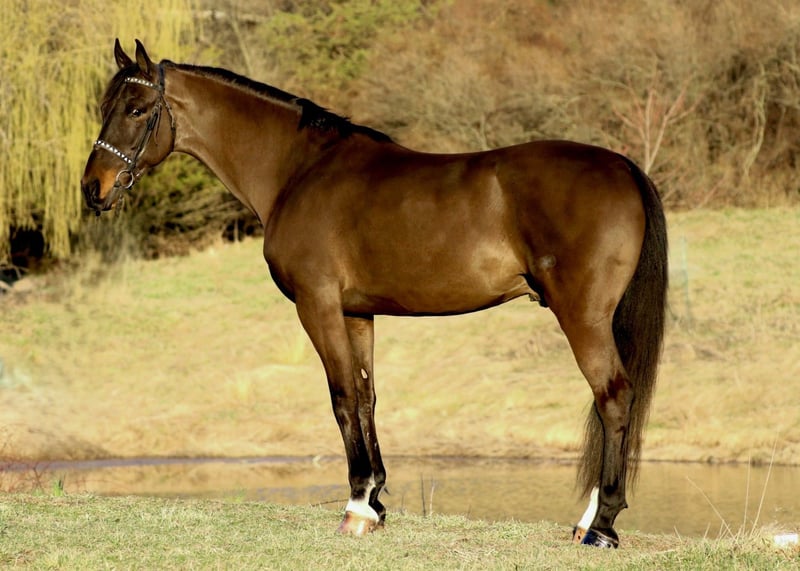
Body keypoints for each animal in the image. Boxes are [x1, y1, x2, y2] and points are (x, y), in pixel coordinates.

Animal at [81, 40, 667, 548]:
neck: (300, 169)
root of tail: (624, 166)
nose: (93, 189)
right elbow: (366, 397)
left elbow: (341, 397)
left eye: (137, 109)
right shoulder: (356, 313)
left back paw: (600, 525)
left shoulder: (317, 305)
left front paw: (357, 506)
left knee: (614, 397)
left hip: (583, 315)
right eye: (106, 106)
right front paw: (376, 503)